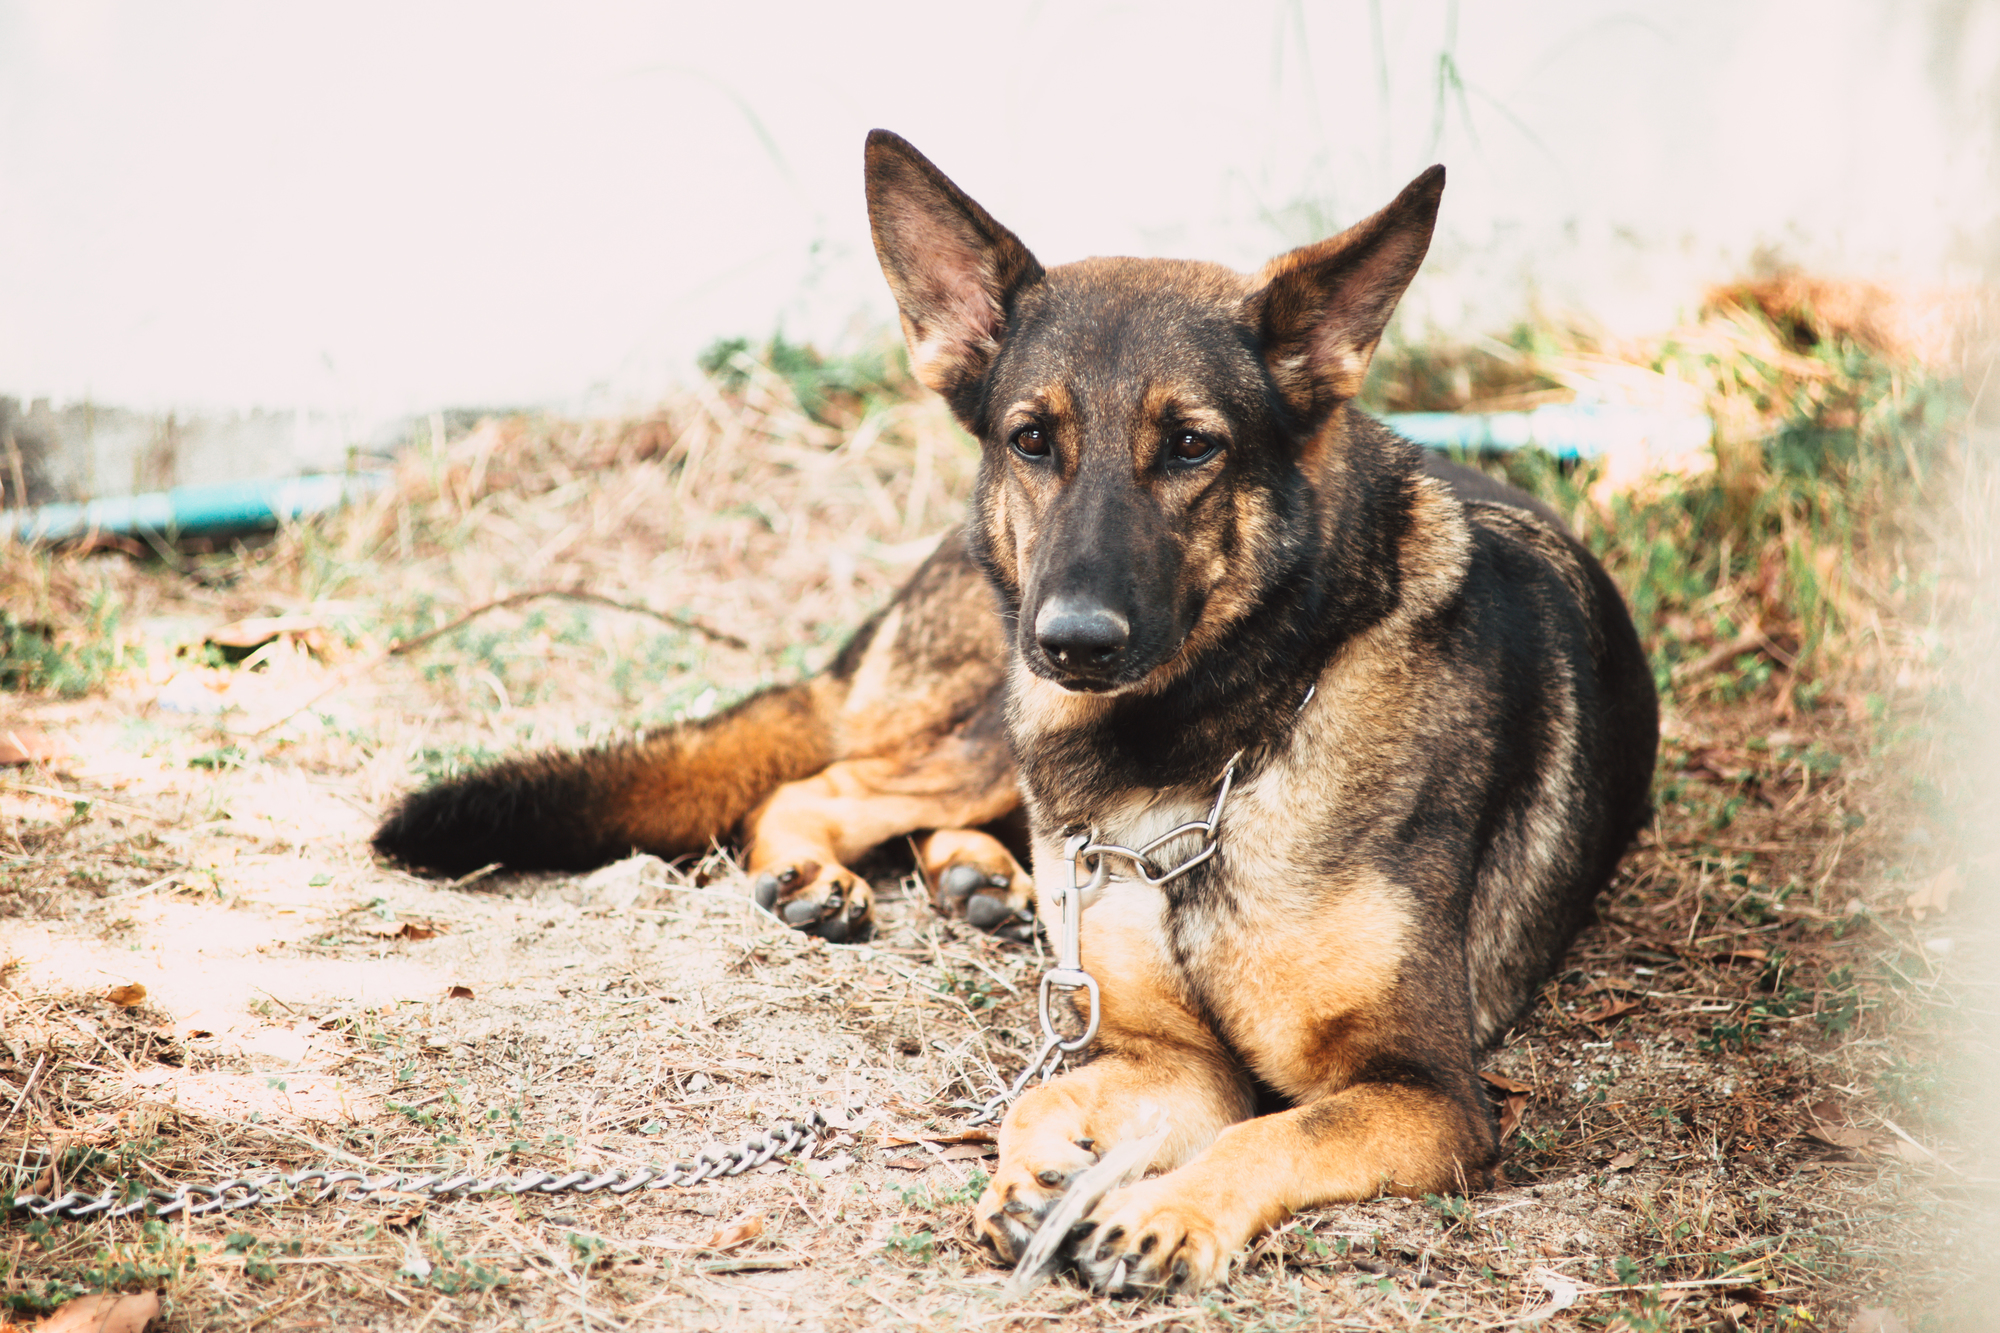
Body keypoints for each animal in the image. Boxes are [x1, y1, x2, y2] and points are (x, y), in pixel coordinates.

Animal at [372, 132, 1656, 1288]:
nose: (1074, 640)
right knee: (827, 781)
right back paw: (836, 875)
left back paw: (979, 879)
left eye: (1190, 446)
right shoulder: (1164, 1048)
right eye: (1032, 438)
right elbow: (1045, 1096)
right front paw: (1039, 1173)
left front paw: (1163, 1210)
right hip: (997, 715)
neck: (1214, 751)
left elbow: (1274, 1126)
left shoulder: (1418, 1089)